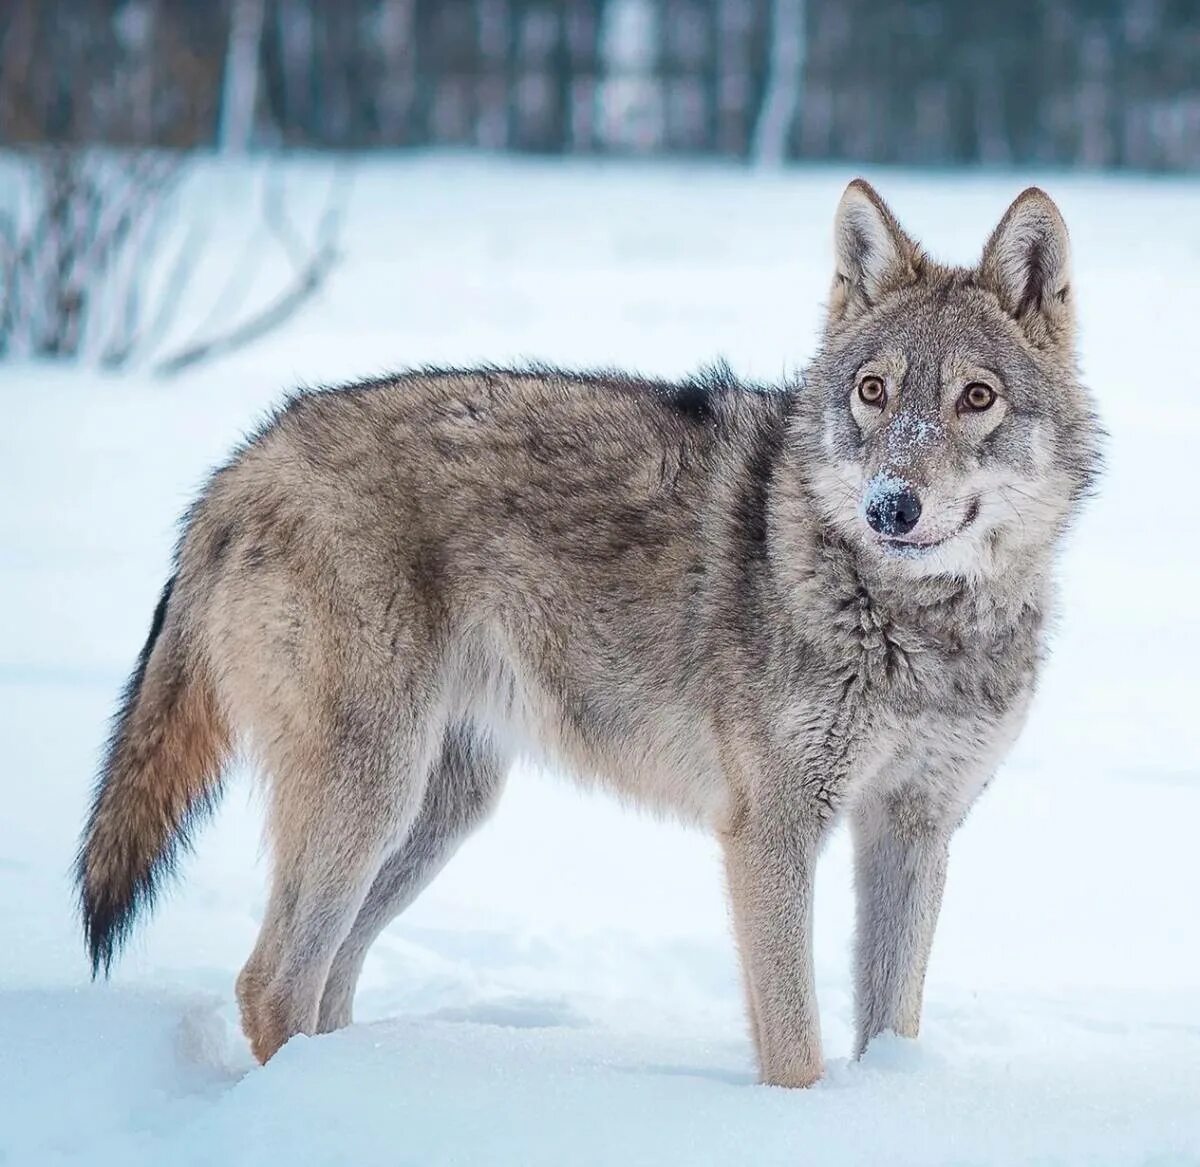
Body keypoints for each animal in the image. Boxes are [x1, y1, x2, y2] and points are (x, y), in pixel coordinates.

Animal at [79, 180, 1099, 1085]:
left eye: (976, 398)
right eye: (874, 391)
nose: (892, 506)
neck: (917, 622)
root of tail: (243, 461)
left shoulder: (914, 826)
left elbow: (891, 1023)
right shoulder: (770, 828)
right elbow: (797, 1051)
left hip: (437, 810)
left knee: (326, 977)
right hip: (375, 793)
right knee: (270, 981)